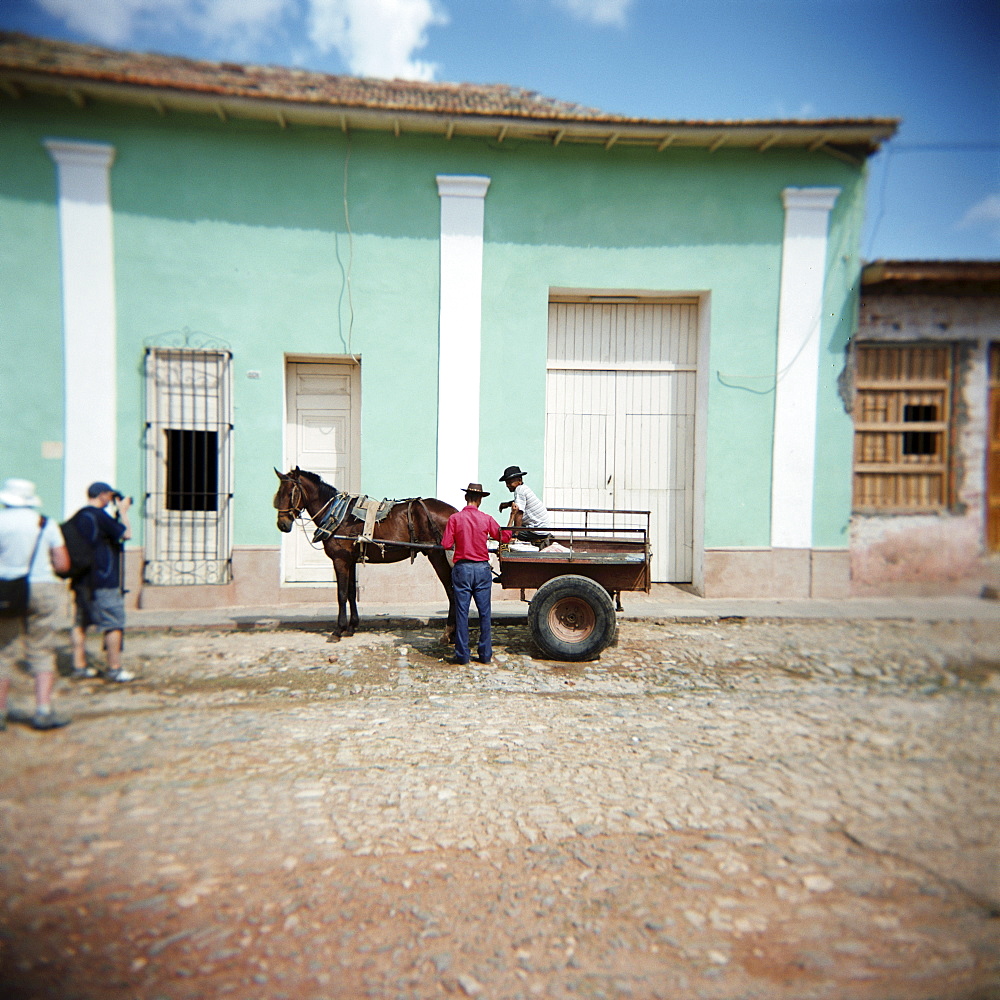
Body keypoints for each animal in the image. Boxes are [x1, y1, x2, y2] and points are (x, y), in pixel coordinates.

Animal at [270, 466, 458, 640]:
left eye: (289, 493)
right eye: (279, 493)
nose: (282, 524)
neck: (338, 515)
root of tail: (454, 512)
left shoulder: (340, 560)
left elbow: (341, 594)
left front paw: (338, 630)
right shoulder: (350, 561)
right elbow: (351, 593)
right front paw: (351, 627)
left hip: (438, 556)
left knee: (451, 591)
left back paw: (448, 632)